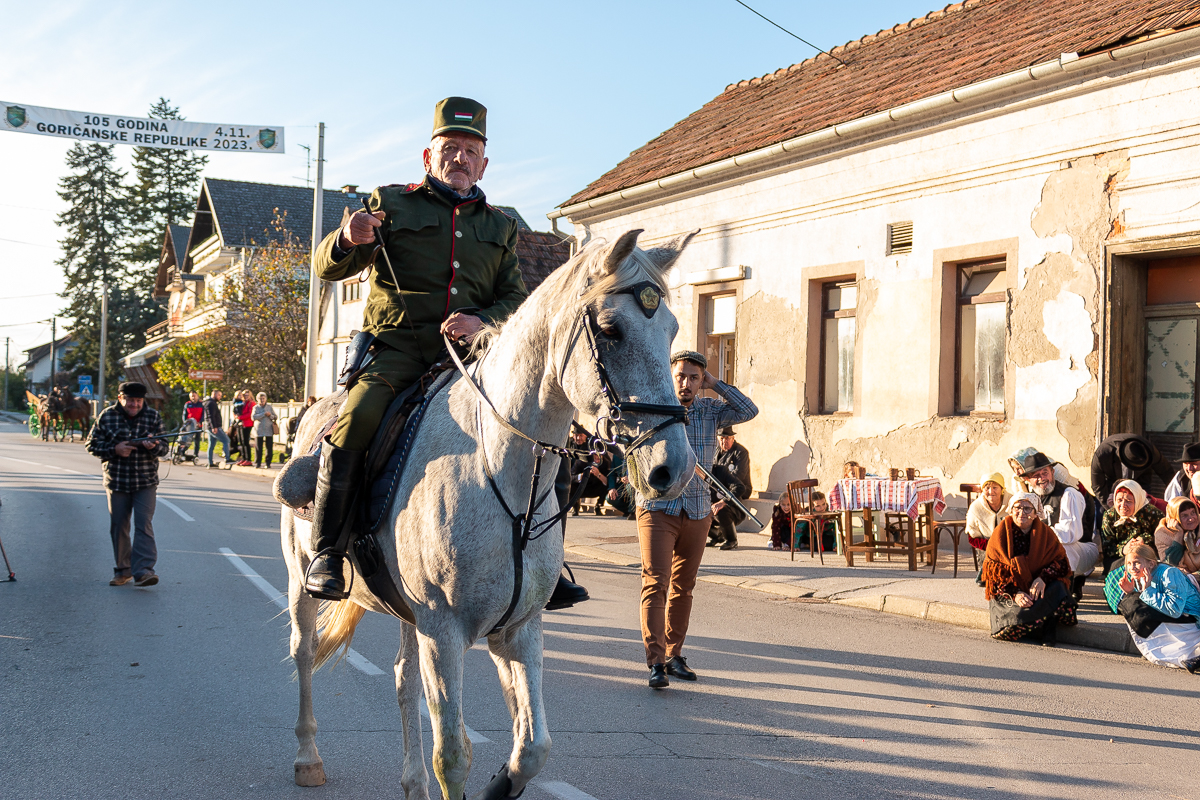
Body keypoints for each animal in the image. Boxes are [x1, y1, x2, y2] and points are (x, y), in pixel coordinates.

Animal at [280, 228, 698, 799]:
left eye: (673, 329)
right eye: (612, 330)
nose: (674, 468)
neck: (499, 470)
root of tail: (316, 408)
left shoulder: (517, 628)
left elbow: (532, 746)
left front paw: (502, 784)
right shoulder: (445, 631)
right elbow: (454, 754)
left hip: (409, 614)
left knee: (402, 678)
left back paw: (412, 783)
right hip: (304, 581)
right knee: (303, 652)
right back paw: (307, 757)